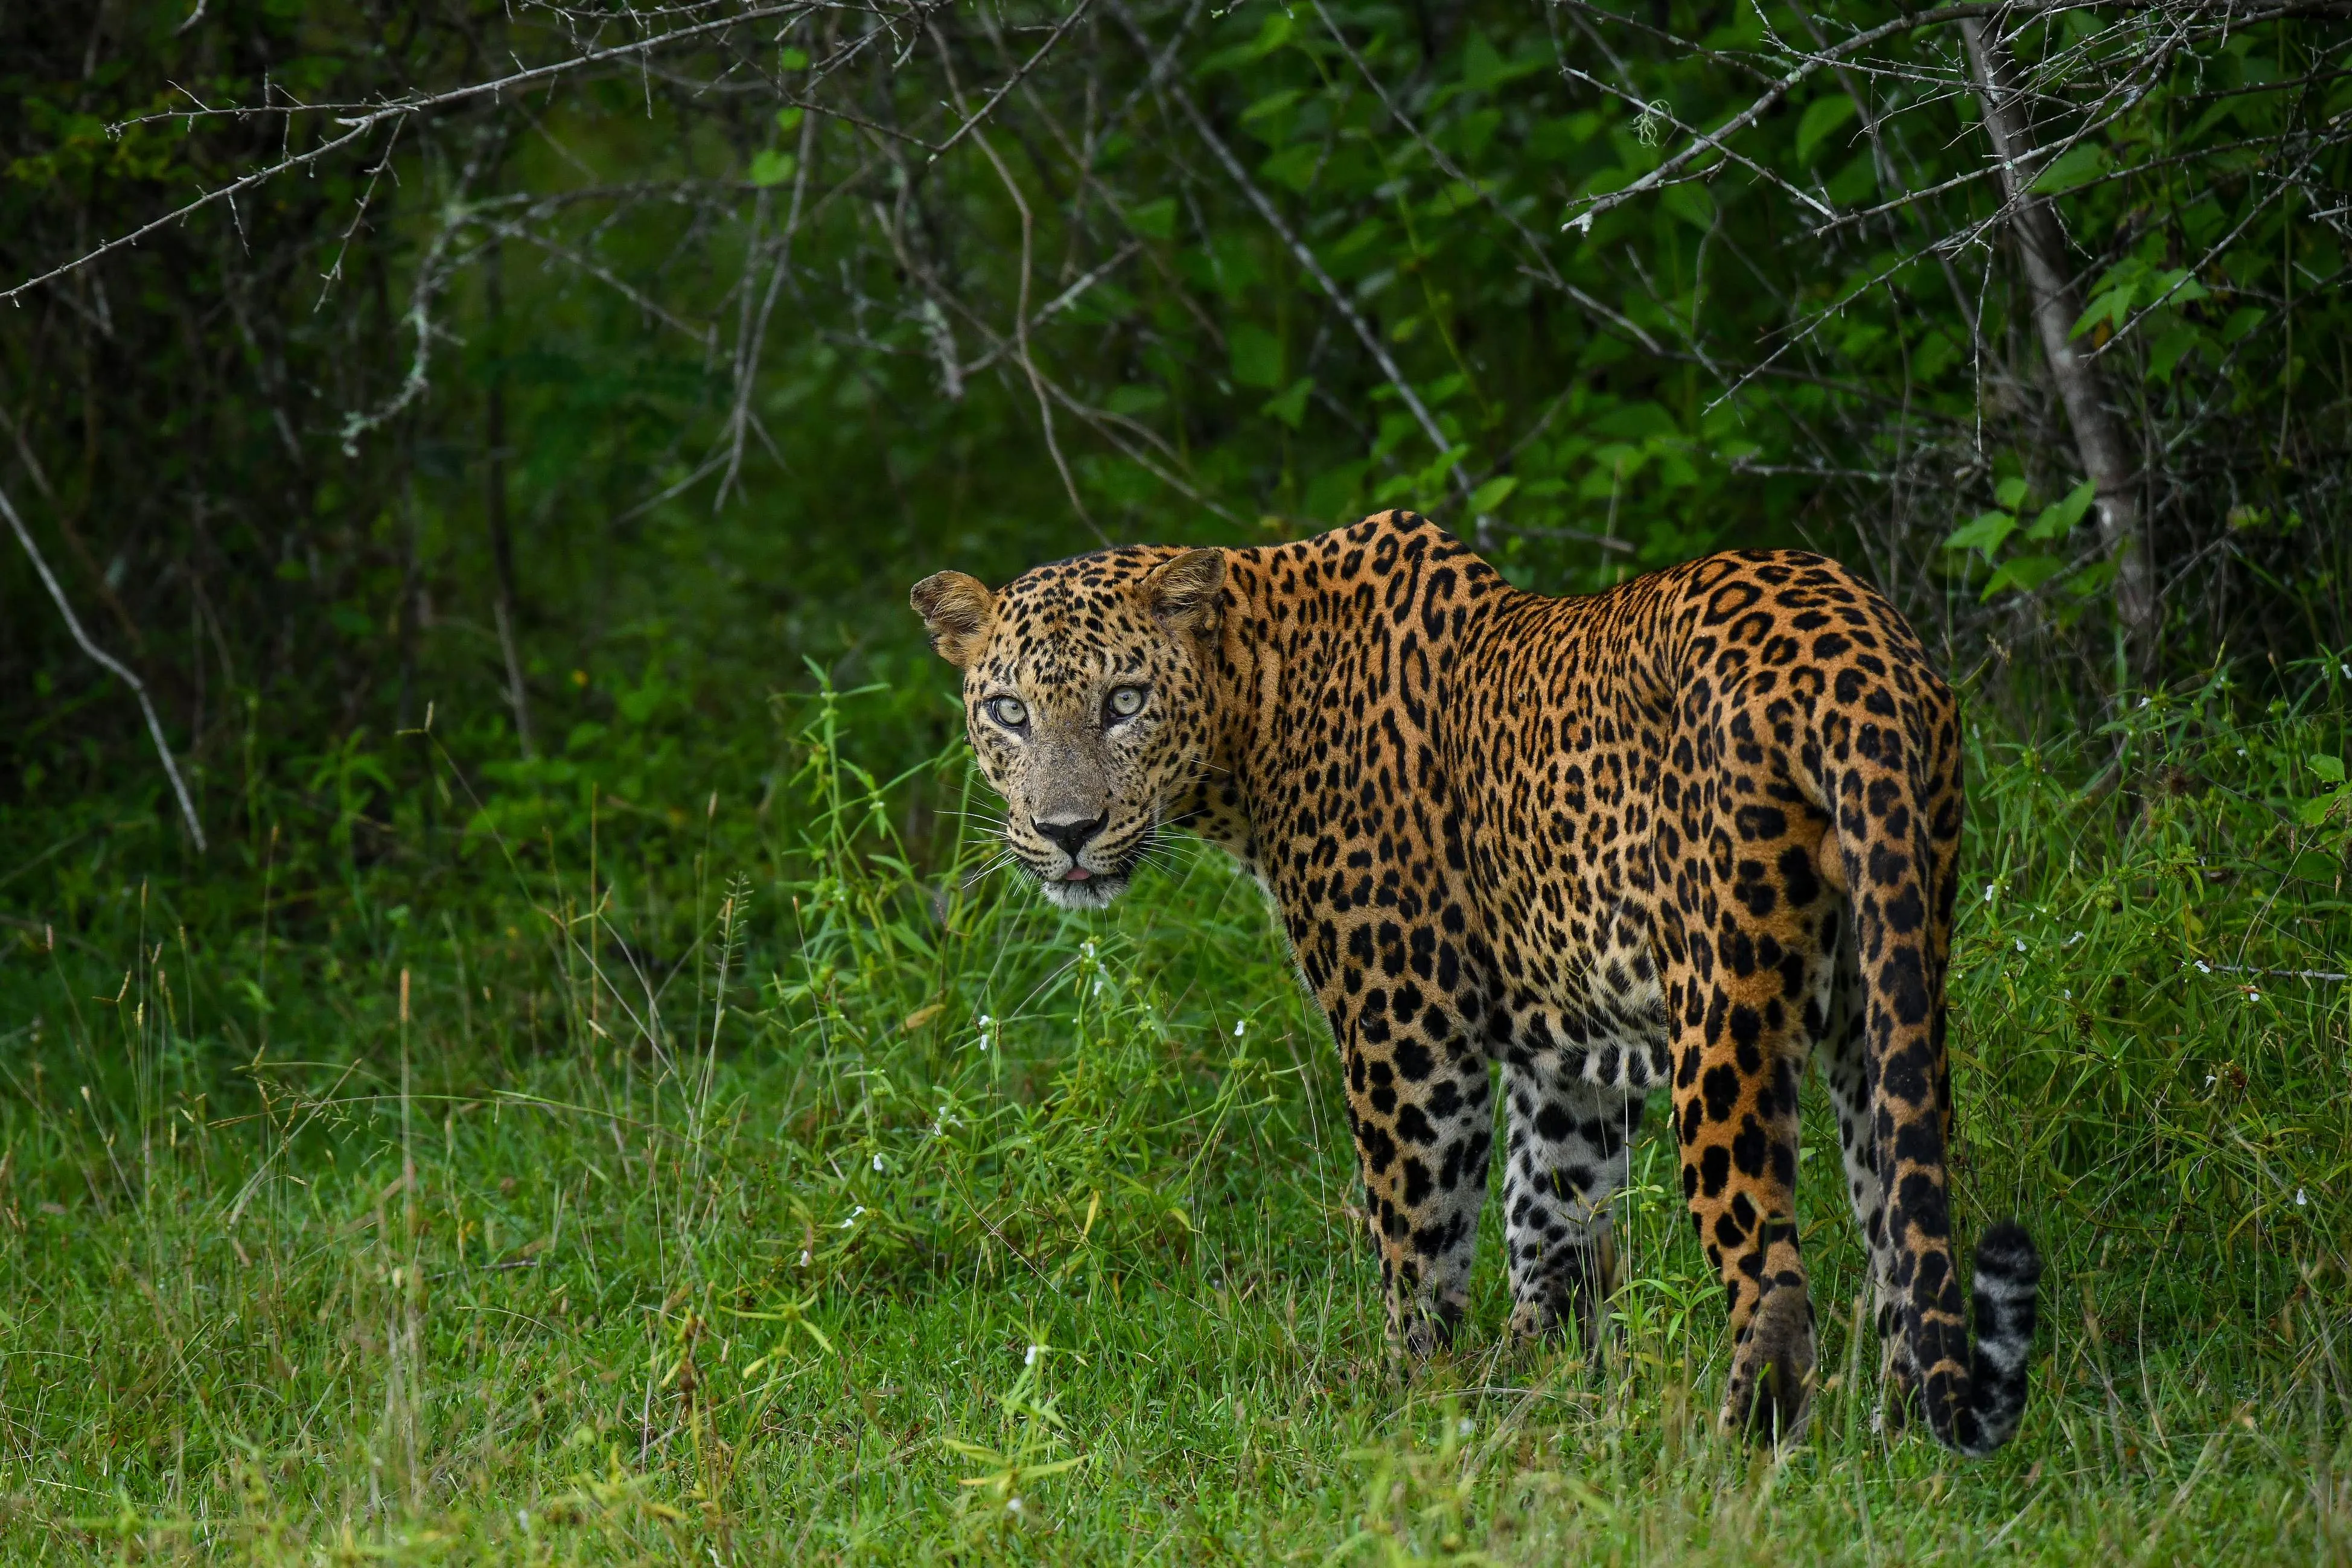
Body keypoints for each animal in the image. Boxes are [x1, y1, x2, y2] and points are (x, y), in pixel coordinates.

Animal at [911, 509, 2042, 1453]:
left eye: (1125, 702)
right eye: (1008, 710)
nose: (1066, 830)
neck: (1256, 700)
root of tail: (1853, 655)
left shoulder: (1404, 1026)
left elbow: (1419, 1233)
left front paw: (1415, 1404)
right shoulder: (1566, 1051)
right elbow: (1551, 1219)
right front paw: (1541, 1386)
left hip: (1726, 1016)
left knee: (1774, 1277)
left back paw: (1736, 1455)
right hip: (1890, 986)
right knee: (1903, 1232)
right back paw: (1898, 1446)